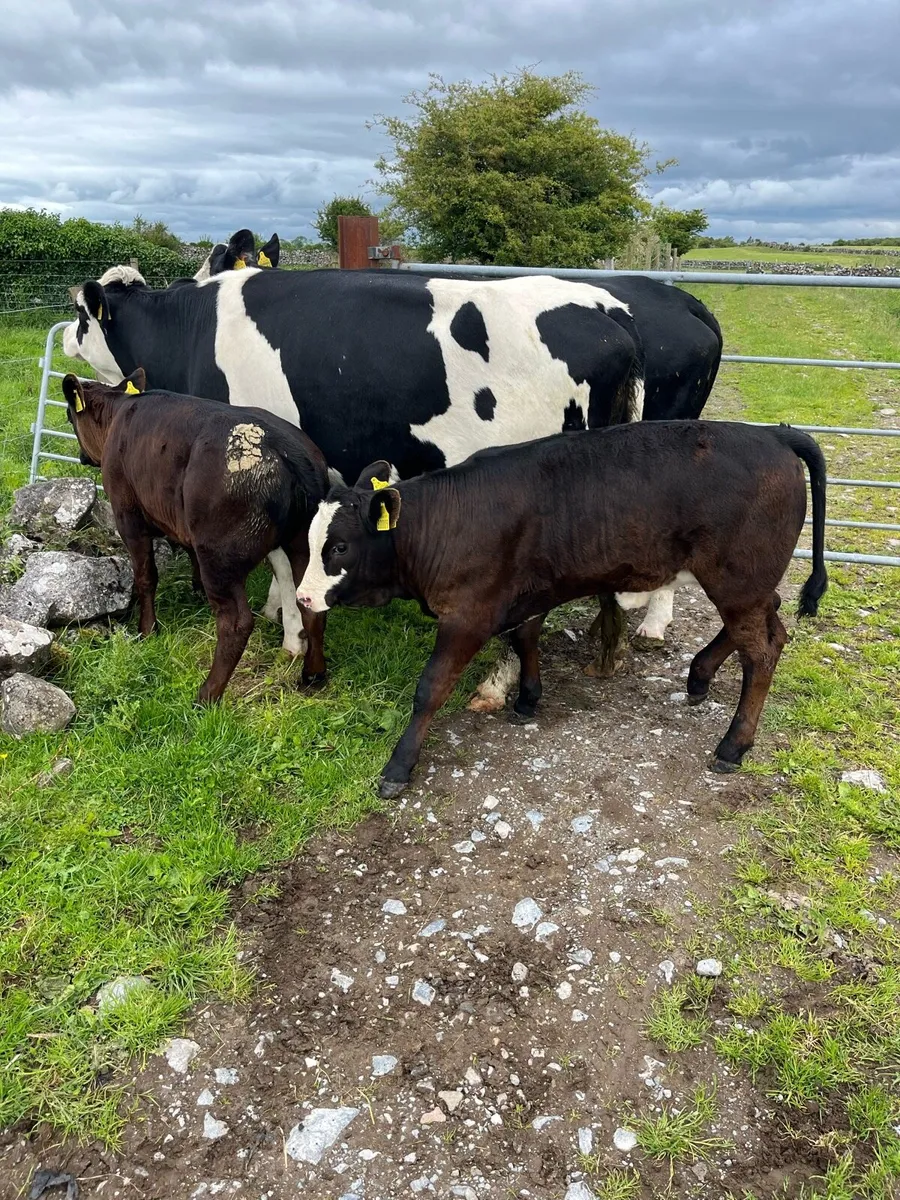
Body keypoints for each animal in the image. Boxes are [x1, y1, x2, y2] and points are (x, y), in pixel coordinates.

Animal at [61, 370, 329, 701]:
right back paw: (313, 675)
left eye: (69, 416)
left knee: (236, 622)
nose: (82, 457)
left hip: (220, 556)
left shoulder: (128, 516)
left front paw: (147, 629)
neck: (119, 412)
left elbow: (146, 576)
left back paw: (208, 694)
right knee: (312, 607)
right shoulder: (182, 522)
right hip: (303, 547)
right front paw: (196, 589)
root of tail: (287, 451)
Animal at [296, 421, 828, 798]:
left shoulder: (468, 614)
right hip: (747, 584)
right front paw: (528, 699)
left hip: (737, 579)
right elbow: (525, 640)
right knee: (771, 621)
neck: (445, 523)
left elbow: (431, 688)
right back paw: (699, 675)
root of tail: (771, 433)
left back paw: (733, 745)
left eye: (339, 547)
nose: (303, 598)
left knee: (761, 651)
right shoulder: (526, 592)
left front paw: (398, 766)